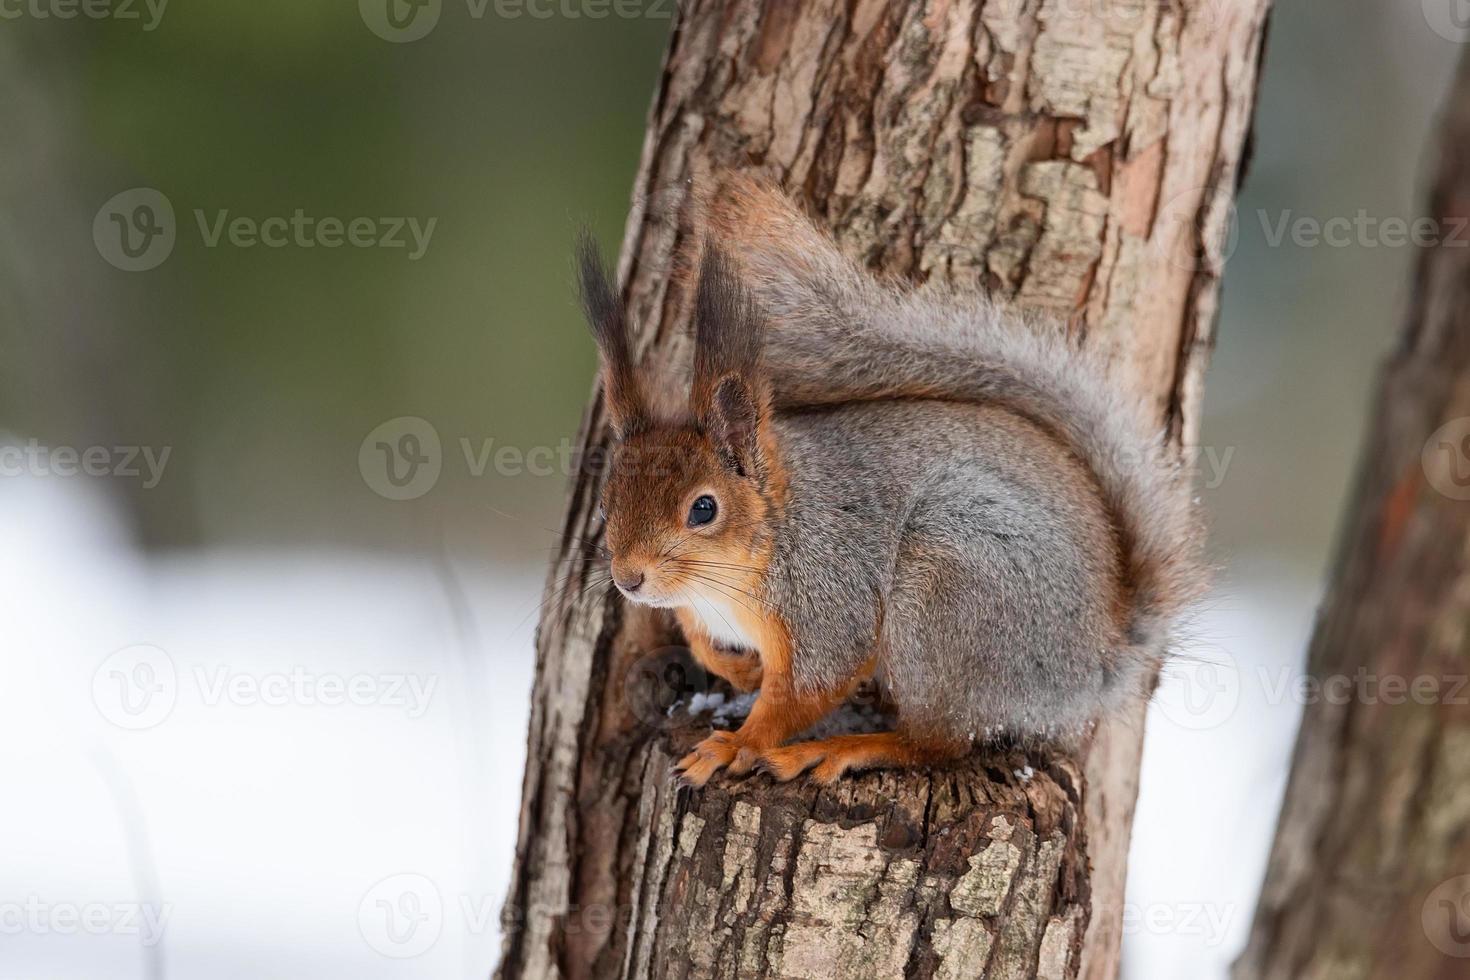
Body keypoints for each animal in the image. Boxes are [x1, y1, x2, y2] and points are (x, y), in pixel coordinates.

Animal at [573, 178, 1205, 787]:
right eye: (606, 503)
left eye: (704, 509)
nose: (628, 579)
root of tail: (1095, 663)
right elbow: (704, 643)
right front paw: (738, 668)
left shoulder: (830, 595)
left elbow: (806, 690)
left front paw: (735, 745)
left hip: (946, 591)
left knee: (938, 743)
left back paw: (842, 748)